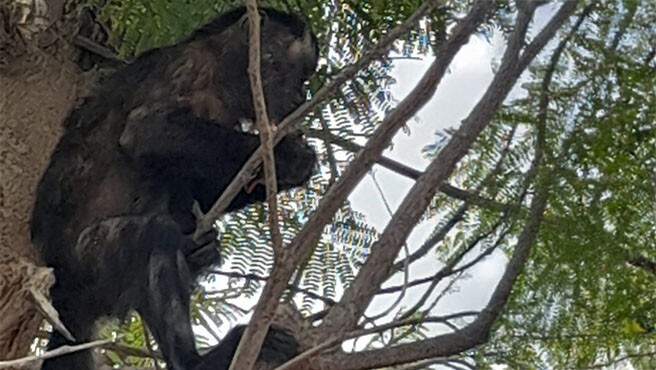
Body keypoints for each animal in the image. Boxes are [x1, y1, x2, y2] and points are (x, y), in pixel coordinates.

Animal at [30, 6, 318, 370]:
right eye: (297, 75)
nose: (301, 95)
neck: (223, 74)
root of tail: (65, 296)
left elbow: (200, 185)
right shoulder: (190, 67)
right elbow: (146, 131)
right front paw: (287, 156)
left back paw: (199, 251)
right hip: (83, 263)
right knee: (154, 235)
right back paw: (197, 360)